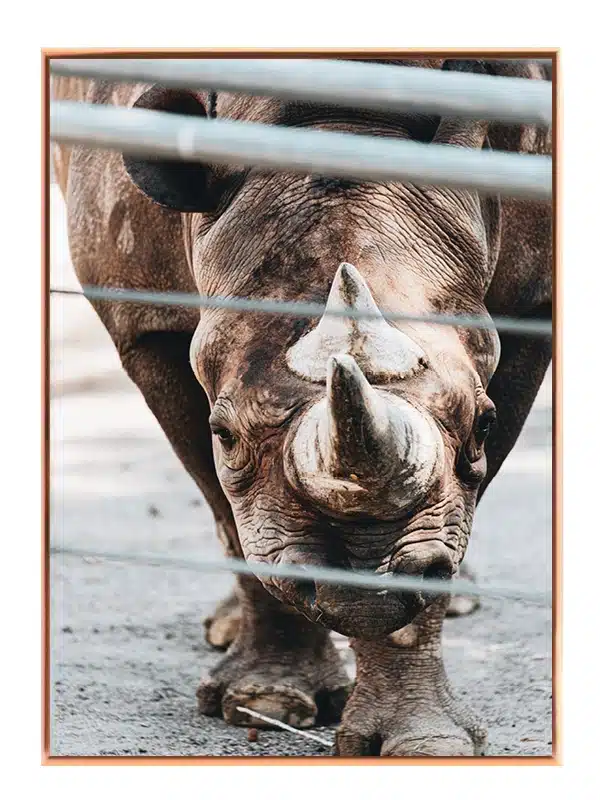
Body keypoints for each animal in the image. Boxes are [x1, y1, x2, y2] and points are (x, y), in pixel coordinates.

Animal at [52, 58, 552, 756]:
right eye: (225, 433)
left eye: (483, 425)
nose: (363, 582)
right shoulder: (144, 320)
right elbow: (227, 510)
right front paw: (265, 703)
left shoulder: (532, 307)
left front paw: (425, 743)